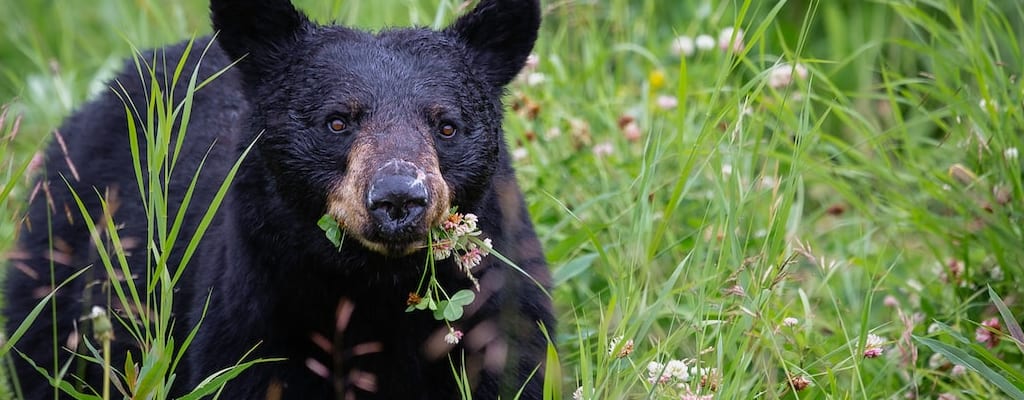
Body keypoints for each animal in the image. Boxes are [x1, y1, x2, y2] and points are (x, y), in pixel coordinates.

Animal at [2, 0, 554, 398]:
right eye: (337, 121)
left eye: (446, 126)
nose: (399, 197)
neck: (375, 287)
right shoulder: (254, 316)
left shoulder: (499, 318)